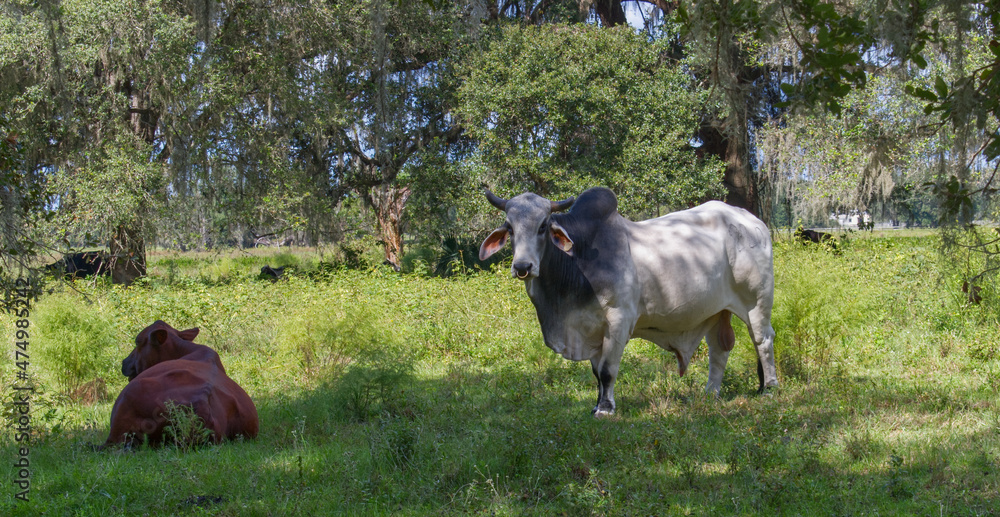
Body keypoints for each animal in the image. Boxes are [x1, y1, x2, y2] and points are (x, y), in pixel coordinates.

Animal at [479, 187, 777, 416]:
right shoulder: (592, 330)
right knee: (719, 349)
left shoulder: (618, 319)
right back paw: (710, 393)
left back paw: (769, 388)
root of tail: (753, 221)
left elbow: (607, 371)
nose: (523, 266)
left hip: (757, 302)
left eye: (542, 226)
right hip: (716, 311)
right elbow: (597, 374)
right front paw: (597, 404)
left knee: (762, 340)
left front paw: (606, 409)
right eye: (510, 228)